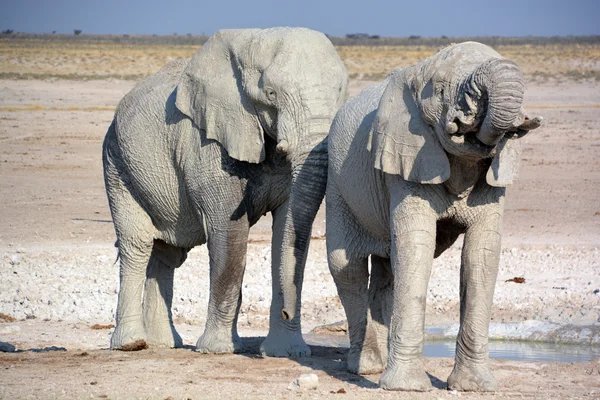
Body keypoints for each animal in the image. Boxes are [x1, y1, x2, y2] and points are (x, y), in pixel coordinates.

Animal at [101, 27, 350, 356]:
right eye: (271, 94)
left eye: (341, 94)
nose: (288, 312)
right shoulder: (208, 144)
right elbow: (228, 233)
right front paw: (218, 349)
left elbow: (287, 230)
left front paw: (287, 352)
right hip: (116, 163)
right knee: (136, 244)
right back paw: (131, 344)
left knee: (166, 253)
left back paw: (164, 344)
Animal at [298, 43, 540, 390]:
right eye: (440, 91)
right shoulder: (405, 157)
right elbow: (415, 250)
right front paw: (405, 386)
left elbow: (481, 254)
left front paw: (475, 386)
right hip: (339, 186)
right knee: (347, 267)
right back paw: (367, 367)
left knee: (387, 271)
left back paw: (381, 362)